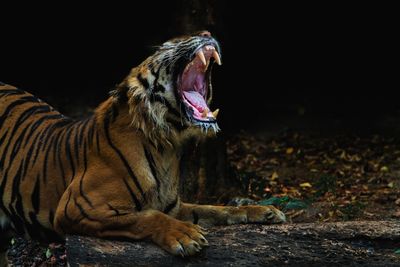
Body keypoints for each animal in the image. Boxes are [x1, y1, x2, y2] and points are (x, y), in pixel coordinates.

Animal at [0, 30, 288, 262]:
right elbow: (145, 217)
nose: (206, 33)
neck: (166, 147)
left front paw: (265, 211)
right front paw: (185, 235)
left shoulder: (175, 206)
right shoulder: (76, 208)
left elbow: (216, 209)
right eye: (167, 45)